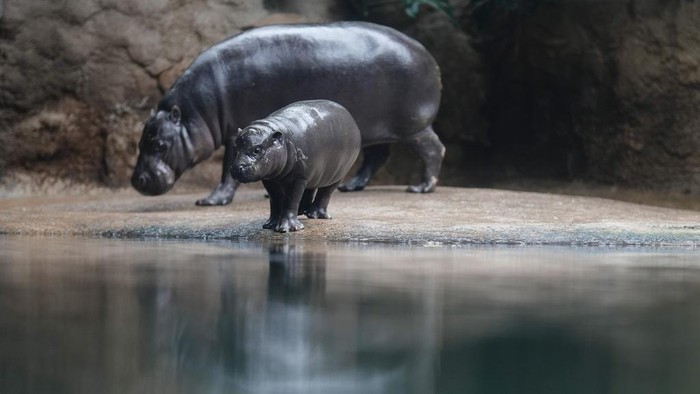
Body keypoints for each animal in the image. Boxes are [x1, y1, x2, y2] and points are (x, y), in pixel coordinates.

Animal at [130, 21, 442, 205]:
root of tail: (427, 54)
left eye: (160, 144)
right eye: (141, 141)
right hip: (378, 127)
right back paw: (351, 186)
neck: (196, 110)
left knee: (433, 149)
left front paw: (211, 201)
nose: (136, 180)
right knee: (377, 156)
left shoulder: (235, 133)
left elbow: (227, 171)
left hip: (413, 126)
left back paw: (421, 188)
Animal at [231, 100, 360, 232]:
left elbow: (291, 200)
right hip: (313, 172)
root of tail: (351, 118)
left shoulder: (297, 178)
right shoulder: (269, 179)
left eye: (257, 150)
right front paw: (270, 225)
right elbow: (275, 200)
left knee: (325, 193)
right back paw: (302, 212)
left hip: (338, 174)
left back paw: (315, 215)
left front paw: (288, 228)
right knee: (310, 189)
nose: (236, 168)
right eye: (235, 148)